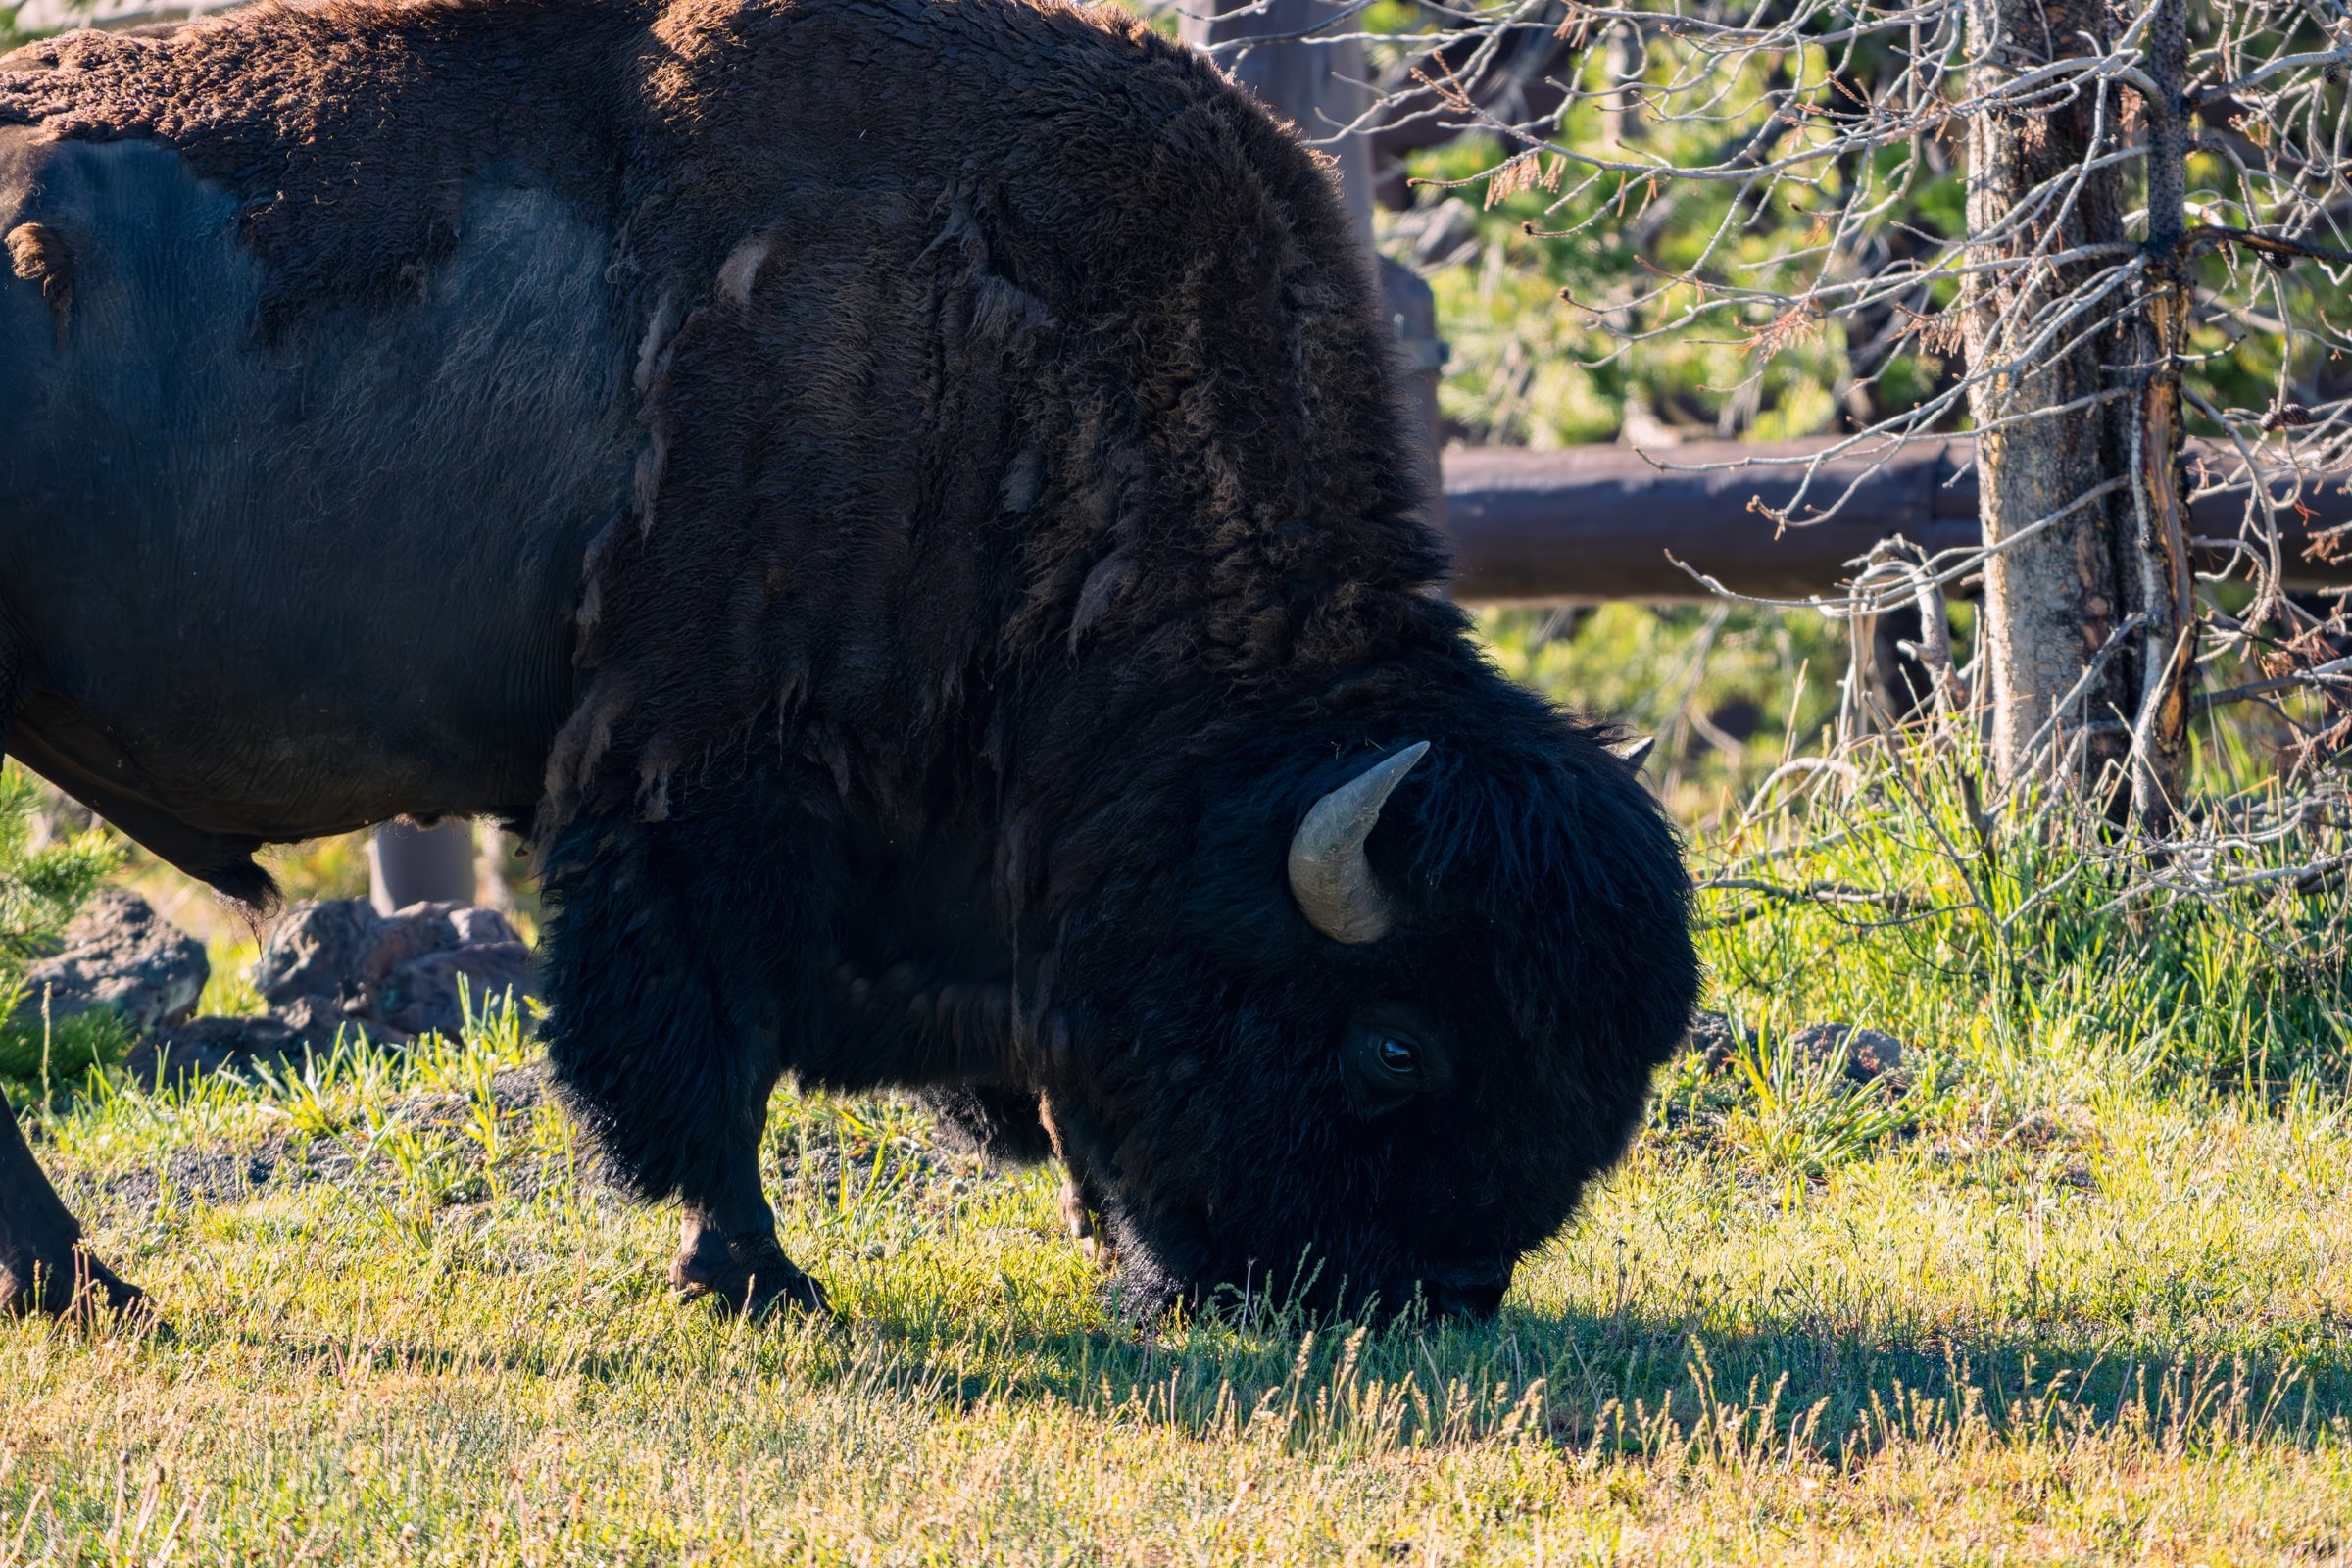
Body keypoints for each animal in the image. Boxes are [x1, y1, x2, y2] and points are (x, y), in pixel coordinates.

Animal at [0, 0, 1696, 1323]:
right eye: (1397, 1044)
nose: (1435, 1299)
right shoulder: (701, 781)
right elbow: (706, 1046)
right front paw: (754, 1275)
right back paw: (88, 1287)